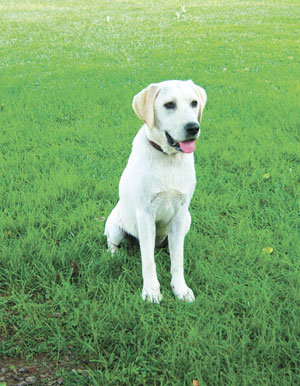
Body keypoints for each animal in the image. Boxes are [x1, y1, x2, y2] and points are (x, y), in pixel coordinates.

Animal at [105, 80, 206, 304]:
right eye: (169, 105)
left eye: (194, 103)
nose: (193, 127)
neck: (168, 159)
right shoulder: (145, 214)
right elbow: (148, 261)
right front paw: (151, 291)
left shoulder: (180, 214)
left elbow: (178, 259)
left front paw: (180, 289)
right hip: (115, 227)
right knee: (113, 242)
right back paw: (116, 254)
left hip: (187, 220)